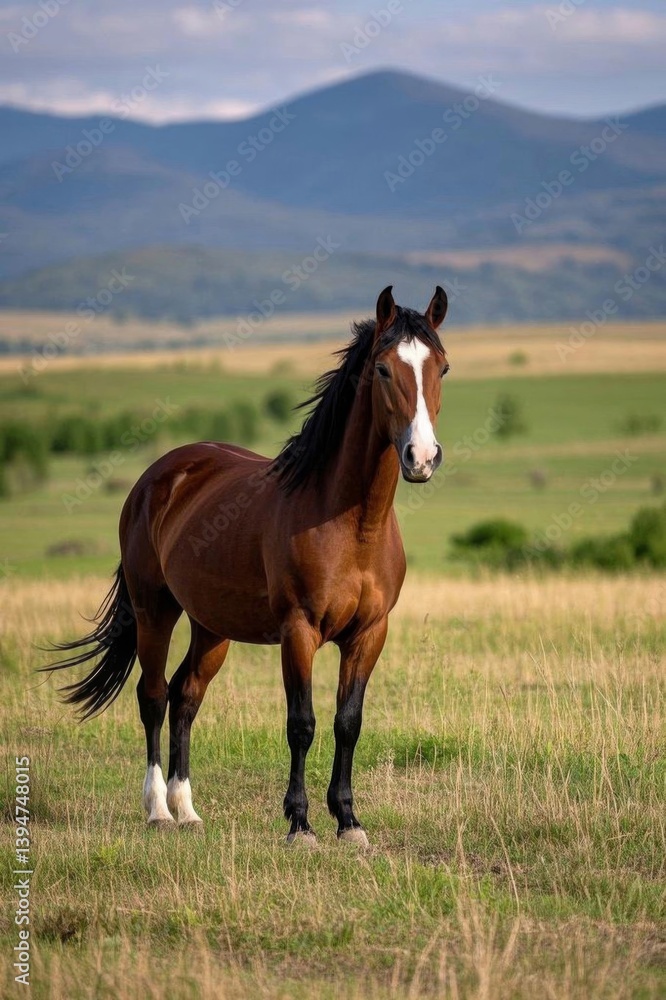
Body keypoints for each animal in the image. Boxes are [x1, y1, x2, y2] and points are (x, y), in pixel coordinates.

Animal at [46, 285, 449, 846]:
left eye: (443, 368)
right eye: (385, 369)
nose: (421, 457)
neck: (351, 523)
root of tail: (159, 475)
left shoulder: (370, 633)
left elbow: (348, 722)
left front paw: (349, 822)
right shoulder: (298, 631)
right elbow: (301, 723)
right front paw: (300, 824)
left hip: (212, 627)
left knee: (185, 695)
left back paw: (188, 809)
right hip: (154, 611)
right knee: (153, 695)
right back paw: (158, 810)